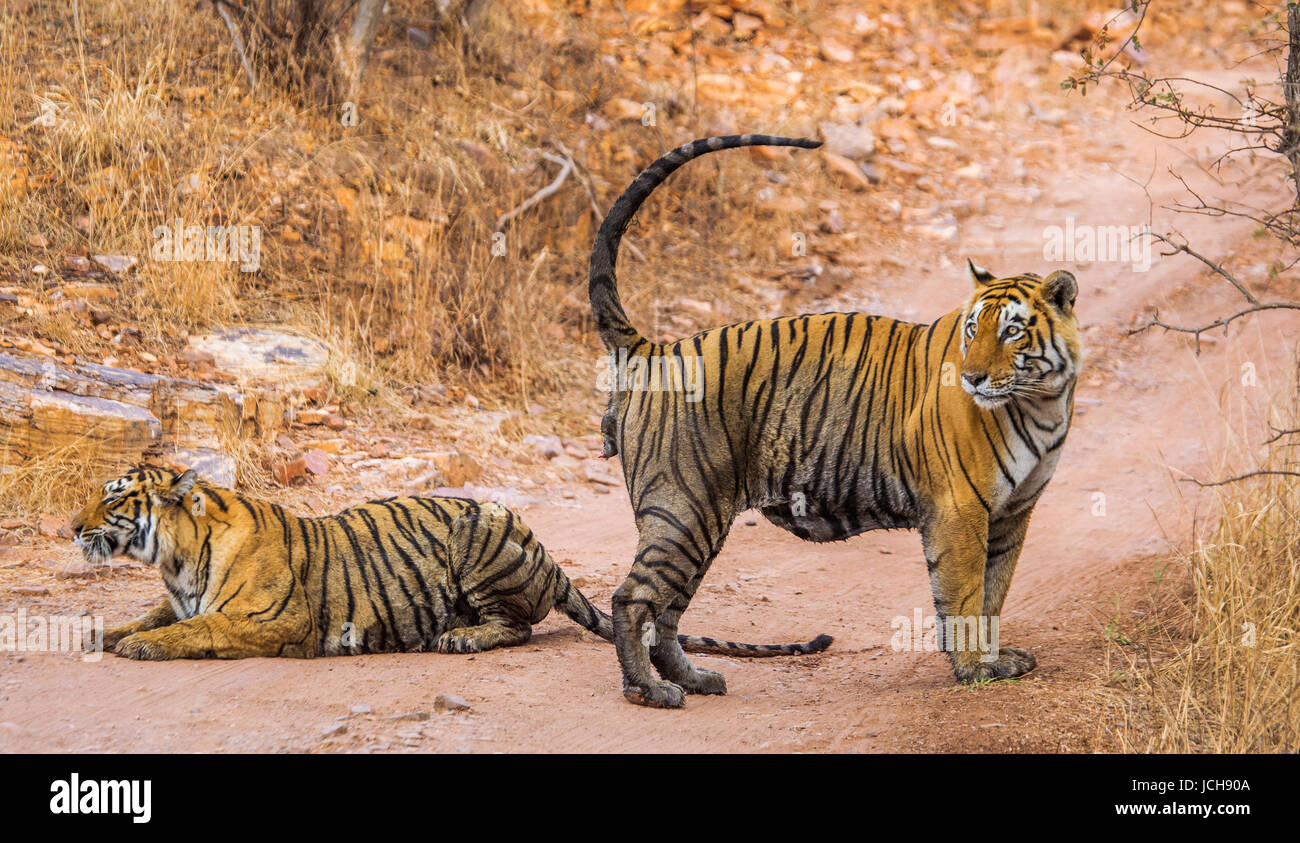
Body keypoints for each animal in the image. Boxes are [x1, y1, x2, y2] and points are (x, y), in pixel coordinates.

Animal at [68, 463, 832, 660]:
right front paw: (106, 631)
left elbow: (194, 628)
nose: (68, 527)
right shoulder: (175, 594)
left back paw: (459, 637)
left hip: (480, 533)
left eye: (113, 498)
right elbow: (153, 614)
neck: (176, 559)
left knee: (518, 626)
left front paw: (140, 646)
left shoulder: (269, 621)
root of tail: (549, 556)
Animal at [587, 135, 1076, 707]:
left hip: (699, 520)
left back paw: (694, 679)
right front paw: (976, 668)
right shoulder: (961, 510)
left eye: (1012, 331)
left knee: (667, 612)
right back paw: (648, 690)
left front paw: (996, 660)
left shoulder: (1013, 513)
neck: (1041, 402)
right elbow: (966, 595)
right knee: (632, 598)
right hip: (682, 509)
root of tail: (656, 348)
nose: (973, 378)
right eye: (973, 329)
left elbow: (994, 594)